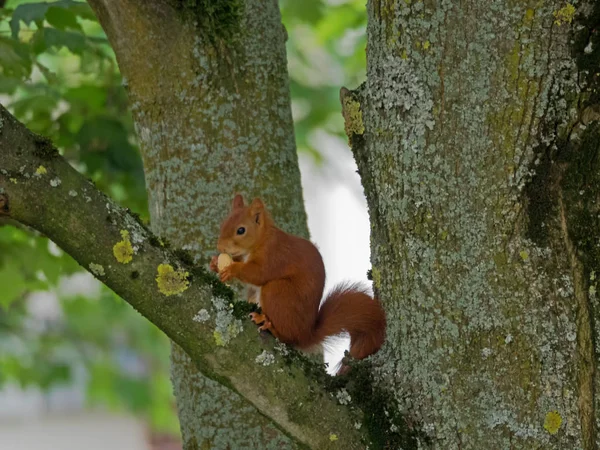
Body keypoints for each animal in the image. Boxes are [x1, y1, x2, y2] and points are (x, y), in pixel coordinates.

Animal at [211, 193, 386, 366]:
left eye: (241, 230)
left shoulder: (275, 256)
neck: (262, 240)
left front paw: (232, 269)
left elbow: (258, 274)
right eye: (223, 223)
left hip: (278, 292)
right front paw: (214, 263)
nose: (220, 247)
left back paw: (267, 323)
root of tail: (305, 335)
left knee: (287, 337)